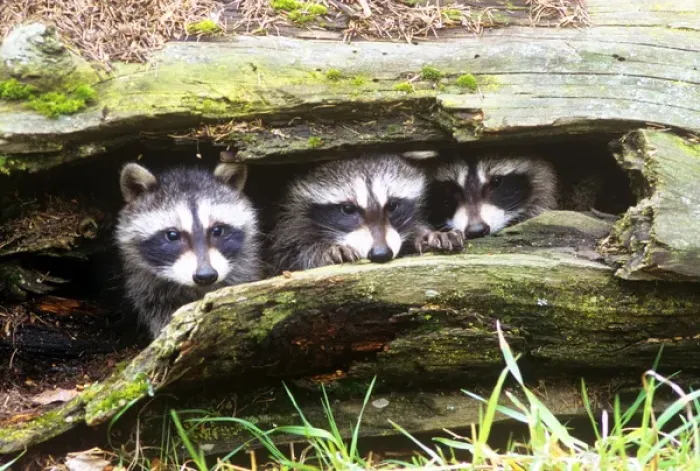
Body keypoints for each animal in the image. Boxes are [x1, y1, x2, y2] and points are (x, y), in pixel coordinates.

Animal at [269, 155, 462, 272]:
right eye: (348, 209)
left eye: (392, 206)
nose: (381, 253)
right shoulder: (288, 219)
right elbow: (289, 256)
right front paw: (325, 251)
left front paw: (426, 234)